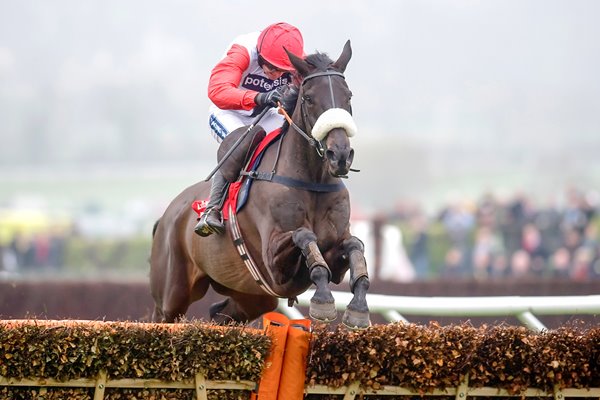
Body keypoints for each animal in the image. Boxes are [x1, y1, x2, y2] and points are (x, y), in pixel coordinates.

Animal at [149, 39, 370, 328]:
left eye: (349, 96)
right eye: (309, 98)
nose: (340, 155)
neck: (312, 181)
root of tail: (166, 215)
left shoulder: (334, 253)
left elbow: (355, 246)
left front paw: (358, 307)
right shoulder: (275, 263)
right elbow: (304, 235)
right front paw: (323, 301)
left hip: (252, 295)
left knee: (220, 313)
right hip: (171, 295)